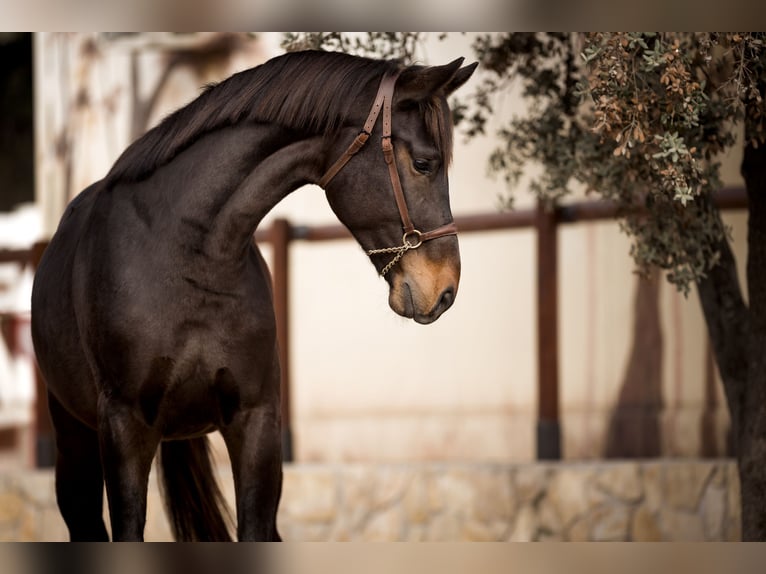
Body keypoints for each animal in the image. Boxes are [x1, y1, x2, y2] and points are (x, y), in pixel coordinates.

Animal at [33, 50, 476, 544]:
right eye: (424, 163)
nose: (445, 288)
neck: (187, 255)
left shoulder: (256, 422)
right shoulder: (125, 427)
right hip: (74, 441)